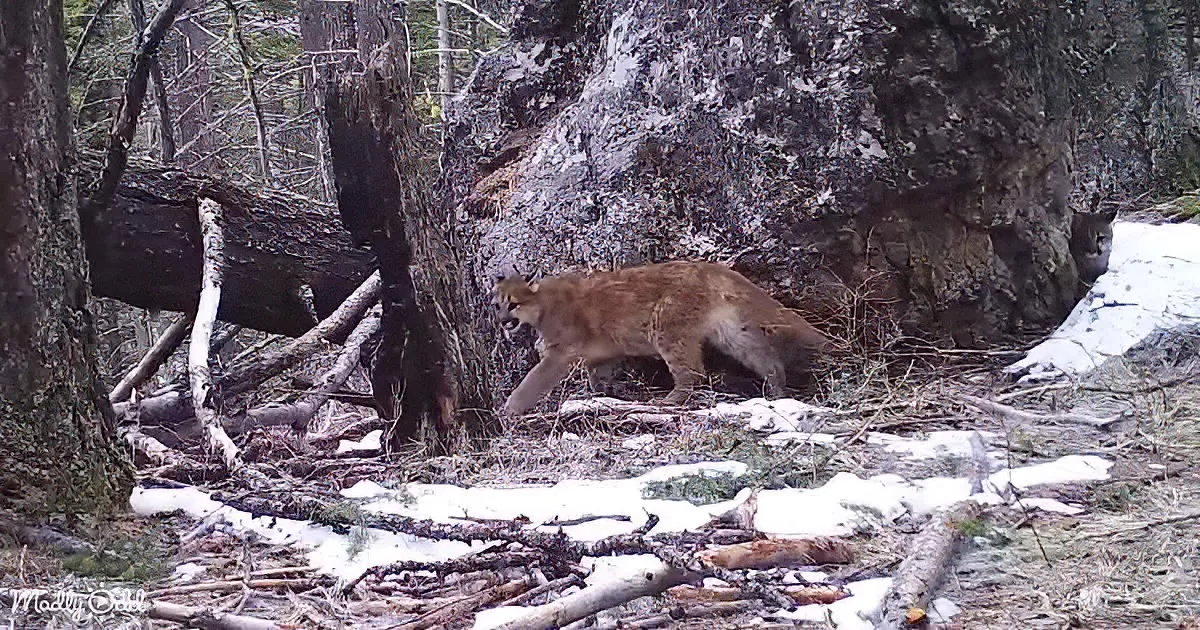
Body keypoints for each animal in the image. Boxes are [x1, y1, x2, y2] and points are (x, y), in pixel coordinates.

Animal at [491, 260, 837, 417]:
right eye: (497, 304)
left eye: (514, 304)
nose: (503, 322)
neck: (542, 305)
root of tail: (710, 267)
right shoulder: (601, 353)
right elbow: (596, 376)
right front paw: (600, 397)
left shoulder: (559, 352)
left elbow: (533, 379)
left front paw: (509, 409)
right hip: (732, 333)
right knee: (765, 357)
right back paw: (776, 393)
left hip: (666, 327)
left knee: (693, 372)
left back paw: (667, 402)